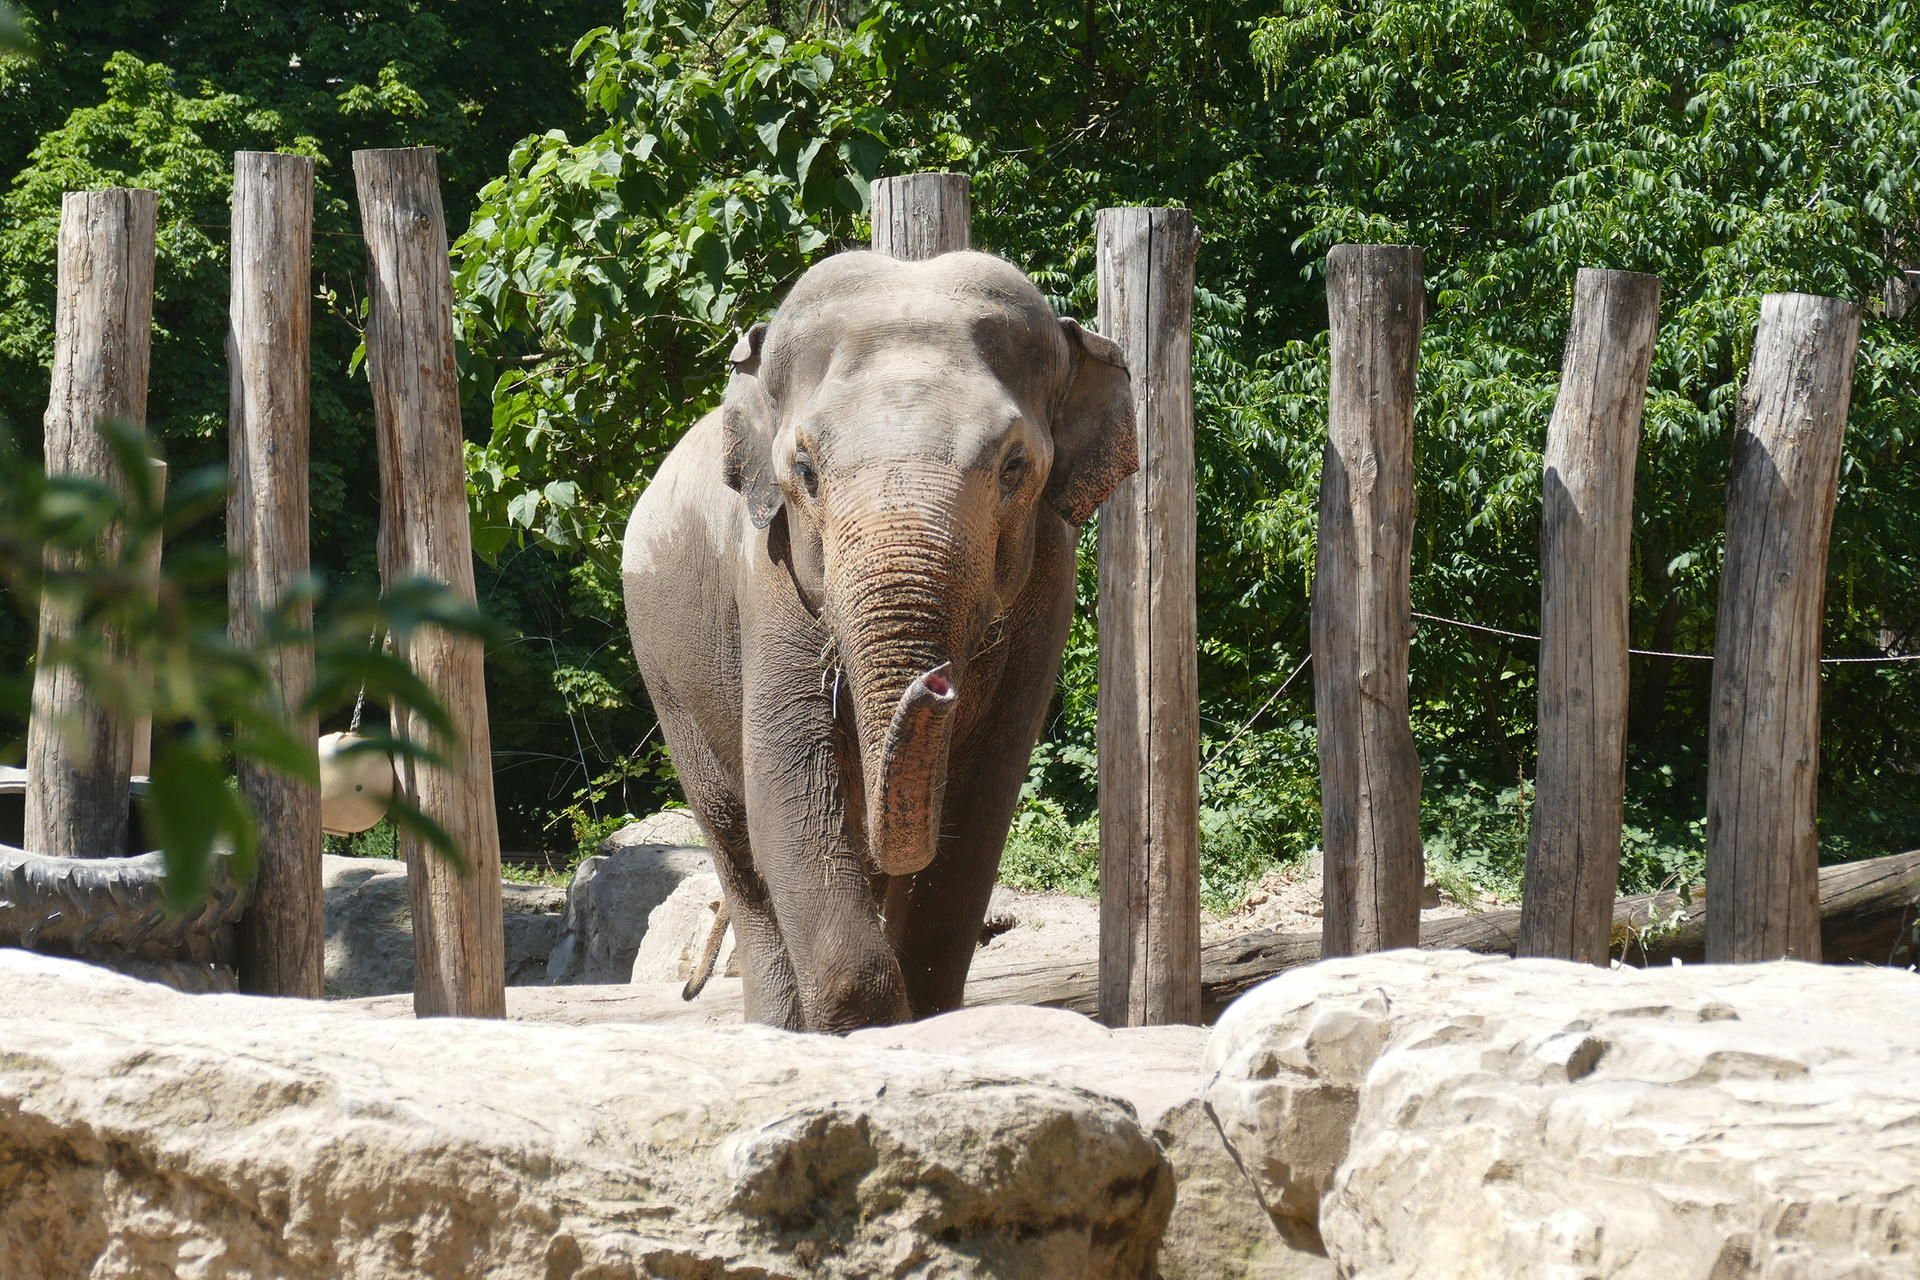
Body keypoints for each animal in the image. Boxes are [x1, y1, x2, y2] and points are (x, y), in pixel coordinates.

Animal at [622, 248, 1135, 1032]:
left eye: (1015, 466)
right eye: (804, 470)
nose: (938, 682)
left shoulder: (1050, 577)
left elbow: (979, 804)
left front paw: (924, 1019)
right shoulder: (767, 570)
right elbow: (790, 785)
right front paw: (863, 1024)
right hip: (667, 672)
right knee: (737, 842)